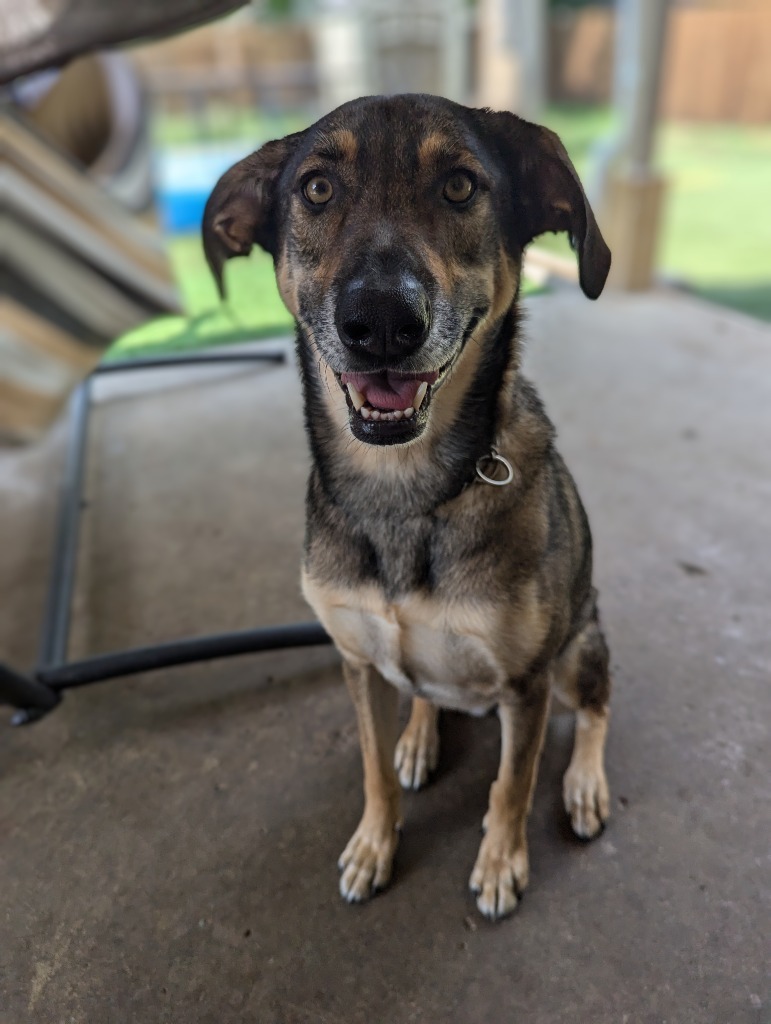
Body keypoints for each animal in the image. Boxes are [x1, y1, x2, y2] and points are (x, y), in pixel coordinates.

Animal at [204, 94, 614, 921]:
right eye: (317, 189)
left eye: (459, 186)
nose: (382, 322)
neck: (402, 492)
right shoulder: (358, 660)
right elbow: (370, 768)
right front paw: (373, 844)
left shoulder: (526, 684)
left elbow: (511, 783)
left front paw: (500, 863)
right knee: (425, 690)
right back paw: (421, 735)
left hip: (579, 643)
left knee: (595, 707)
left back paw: (585, 783)